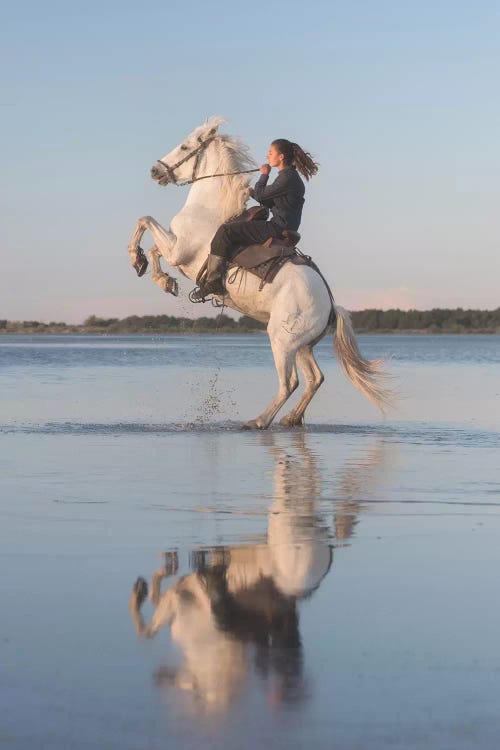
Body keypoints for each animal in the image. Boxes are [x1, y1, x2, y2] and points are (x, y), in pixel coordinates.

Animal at [128, 115, 390, 428]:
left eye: (185, 146)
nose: (155, 171)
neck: (207, 207)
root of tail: (330, 306)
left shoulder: (178, 250)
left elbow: (144, 221)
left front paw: (138, 261)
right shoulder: (174, 249)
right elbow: (154, 246)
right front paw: (161, 278)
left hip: (281, 339)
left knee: (289, 383)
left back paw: (258, 421)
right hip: (302, 345)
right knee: (315, 378)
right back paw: (291, 419)